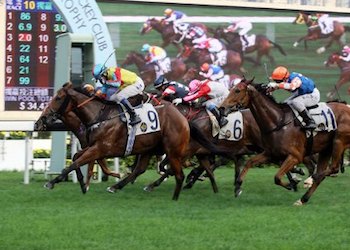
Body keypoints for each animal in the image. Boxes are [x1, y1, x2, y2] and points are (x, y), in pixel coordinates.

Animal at [36, 82, 190, 201]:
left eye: (58, 98)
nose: (40, 121)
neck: (100, 116)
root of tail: (182, 116)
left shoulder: (100, 148)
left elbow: (77, 163)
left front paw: (52, 183)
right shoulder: (93, 146)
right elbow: (75, 158)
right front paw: (82, 183)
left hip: (172, 150)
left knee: (178, 174)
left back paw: (174, 198)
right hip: (148, 147)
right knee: (140, 169)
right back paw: (117, 186)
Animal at [220, 78, 350, 205]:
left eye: (237, 90)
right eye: (231, 89)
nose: (222, 107)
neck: (278, 122)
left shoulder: (295, 156)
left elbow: (277, 177)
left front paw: (292, 183)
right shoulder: (270, 153)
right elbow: (249, 162)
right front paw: (238, 186)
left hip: (338, 141)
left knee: (332, 169)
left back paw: (309, 180)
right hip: (326, 149)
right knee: (322, 174)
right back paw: (303, 199)